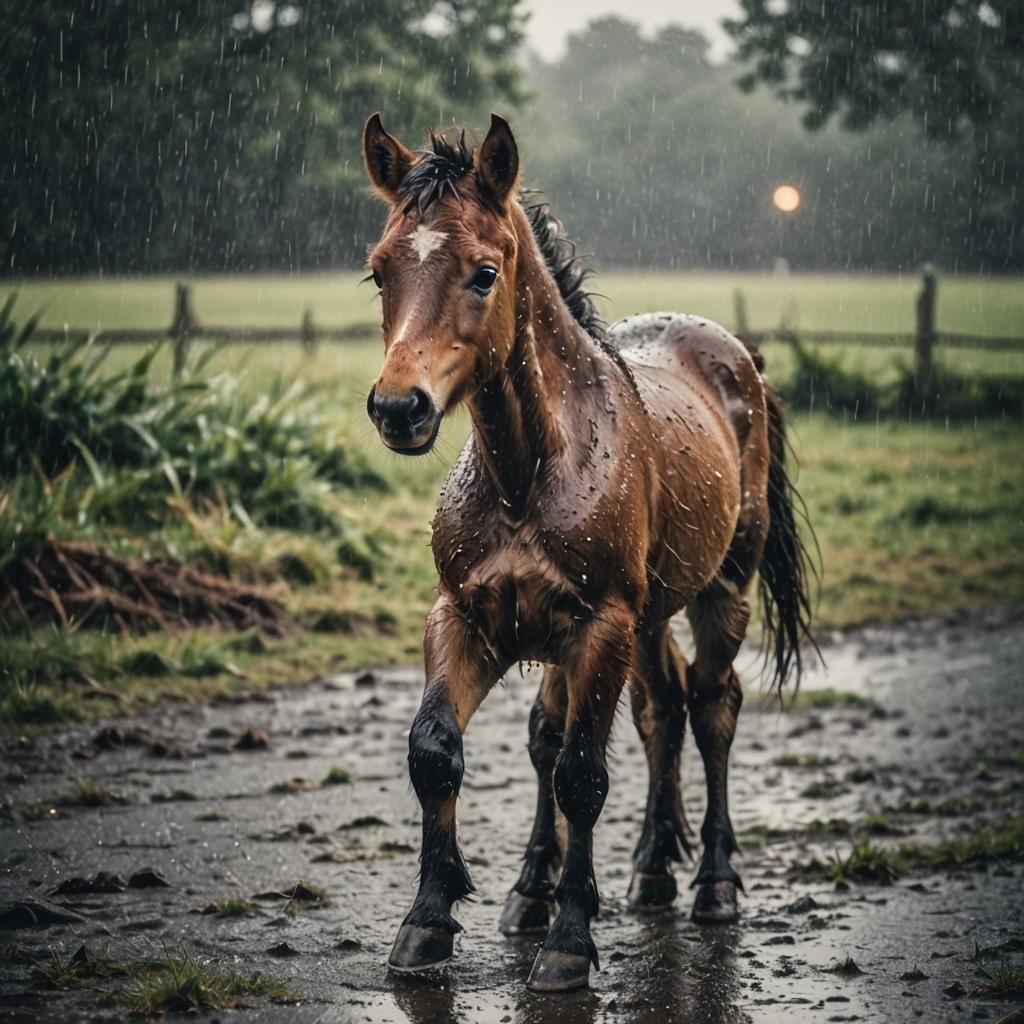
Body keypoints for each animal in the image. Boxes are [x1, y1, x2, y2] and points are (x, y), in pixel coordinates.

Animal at [361, 112, 815, 993]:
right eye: (378, 272)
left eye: (484, 273)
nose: (400, 408)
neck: (528, 470)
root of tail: (738, 353)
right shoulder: (468, 618)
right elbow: (442, 750)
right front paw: (430, 923)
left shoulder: (598, 627)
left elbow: (579, 772)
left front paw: (569, 940)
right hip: (646, 620)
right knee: (658, 712)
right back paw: (647, 871)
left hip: (722, 593)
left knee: (711, 708)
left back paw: (712, 884)